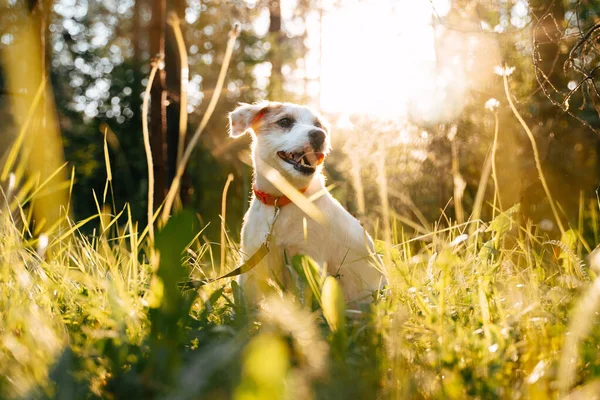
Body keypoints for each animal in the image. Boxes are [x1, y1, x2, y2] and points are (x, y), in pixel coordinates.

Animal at [227, 101, 386, 306]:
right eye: (285, 121)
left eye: (319, 126)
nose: (319, 135)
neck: (282, 201)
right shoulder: (251, 266)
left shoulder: (308, 265)